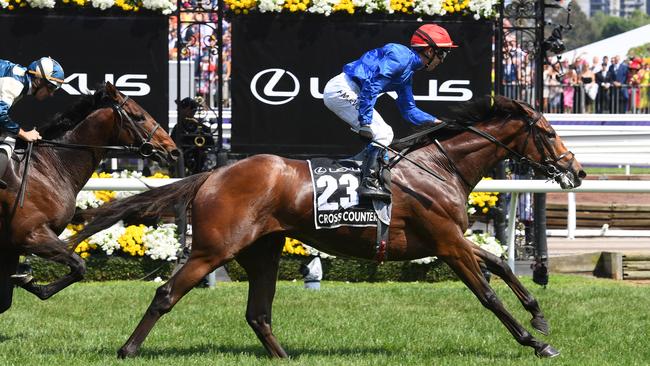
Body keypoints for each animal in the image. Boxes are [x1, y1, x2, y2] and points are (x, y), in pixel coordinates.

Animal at [0, 82, 178, 312]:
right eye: (139, 117)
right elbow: (80, 266)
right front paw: (31, 282)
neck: (47, 167)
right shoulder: (31, 236)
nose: (173, 150)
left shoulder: (10, 247)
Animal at [73, 95, 584, 360]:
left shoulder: (449, 239)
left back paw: (283, 357)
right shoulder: (447, 242)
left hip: (263, 250)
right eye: (549, 133)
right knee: (167, 294)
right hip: (213, 250)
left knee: (258, 312)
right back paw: (128, 350)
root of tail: (213, 174)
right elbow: (488, 295)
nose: (576, 171)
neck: (439, 168)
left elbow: (501, 263)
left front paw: (538, 314)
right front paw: (536, 342)